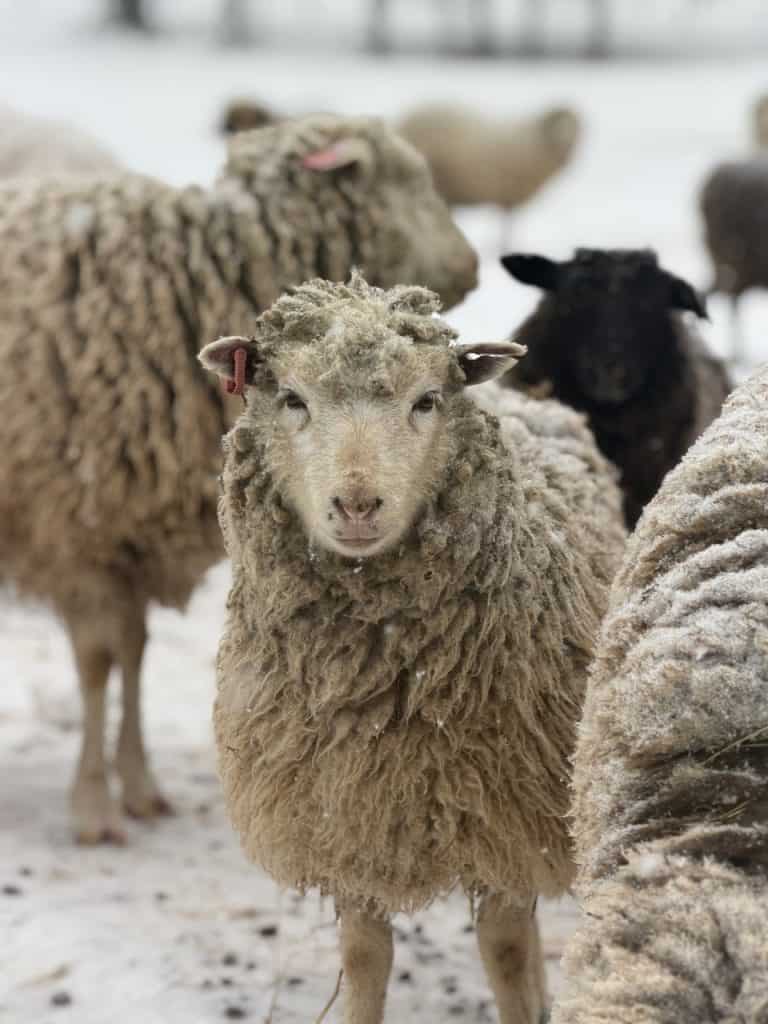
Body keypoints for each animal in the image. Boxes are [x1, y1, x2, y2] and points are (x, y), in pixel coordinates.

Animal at [0, 114, 478, 845]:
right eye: (407, 180)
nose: (473, 264)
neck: (184, 281)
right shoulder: (82, 530)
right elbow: (99, 663)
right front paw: (94, 805)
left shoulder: (133, 534)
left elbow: (134, 652)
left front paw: (139, 785)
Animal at [199, 271, 626, 1024]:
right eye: (292, 399)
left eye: (426, 401)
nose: (357, 505)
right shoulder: (349, 819)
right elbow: (365, 959)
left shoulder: (508, 814)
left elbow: (505, 949)